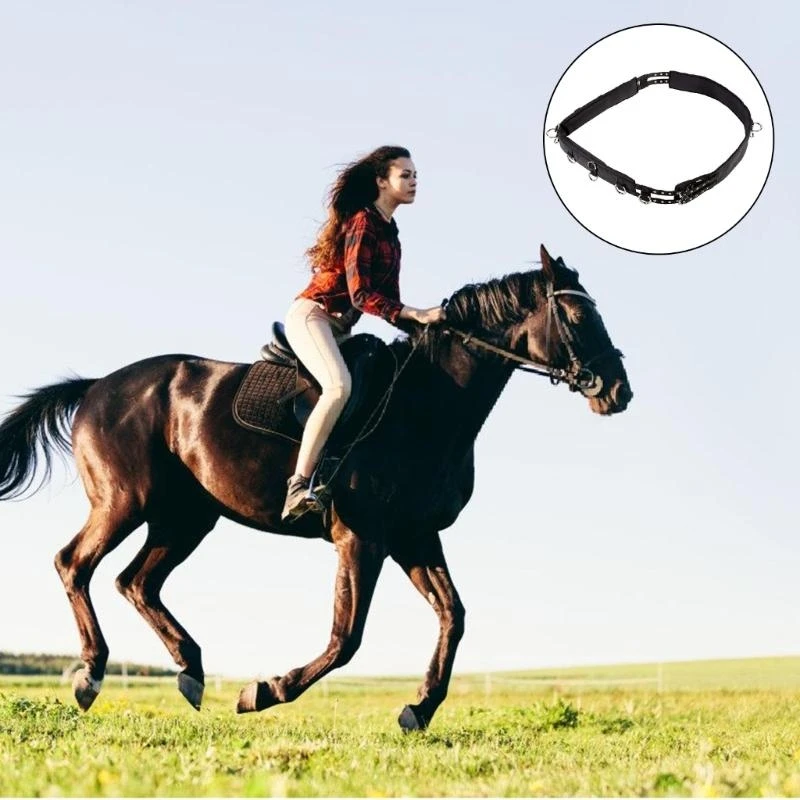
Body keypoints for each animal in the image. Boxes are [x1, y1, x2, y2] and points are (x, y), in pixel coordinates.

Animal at [0, 245, 631, 730]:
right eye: (578, 319)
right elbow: (346, 637)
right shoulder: (362, 538)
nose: (618, 390)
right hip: (124, 502)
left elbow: (453, 616)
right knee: (74, 564)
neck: (428, 404)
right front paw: (263, 691)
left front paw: (420, 708)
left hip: (186, 518)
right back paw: (91, 675)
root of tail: (96, 386)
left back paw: (190, 671)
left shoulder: (413, 536)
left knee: (137, 582)